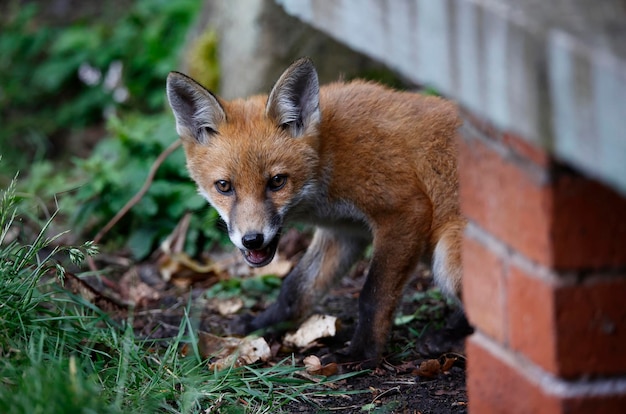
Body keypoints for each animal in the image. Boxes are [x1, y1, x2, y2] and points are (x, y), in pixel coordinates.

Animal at [165, 56, 464, 368]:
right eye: (224, 186)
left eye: (277, 181)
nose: (252, 240)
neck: (330, 153)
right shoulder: (344, 231)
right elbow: (295, 289)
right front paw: (261, 325)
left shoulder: (405, 210)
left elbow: (373, 295)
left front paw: (361, 354)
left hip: (448, 255)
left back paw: (449, 340)